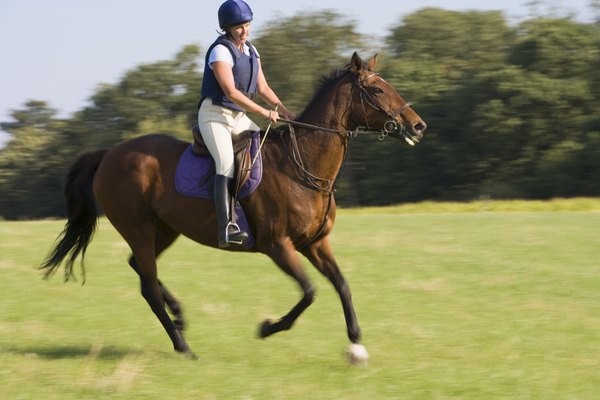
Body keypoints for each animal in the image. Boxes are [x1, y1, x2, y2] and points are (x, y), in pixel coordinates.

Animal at [39, 51, 426, 364]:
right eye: (377, 90)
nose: (418, 125)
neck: (303, 165)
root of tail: (108, 155)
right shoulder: (277, 245)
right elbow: (310, 292)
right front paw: (268, 327)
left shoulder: (315, 243)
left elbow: (342, 285)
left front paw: (356, 346)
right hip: (139, 228)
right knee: (147, 285)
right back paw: (183, 346)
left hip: (164, 229)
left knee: (139, 268)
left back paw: (179, 315)